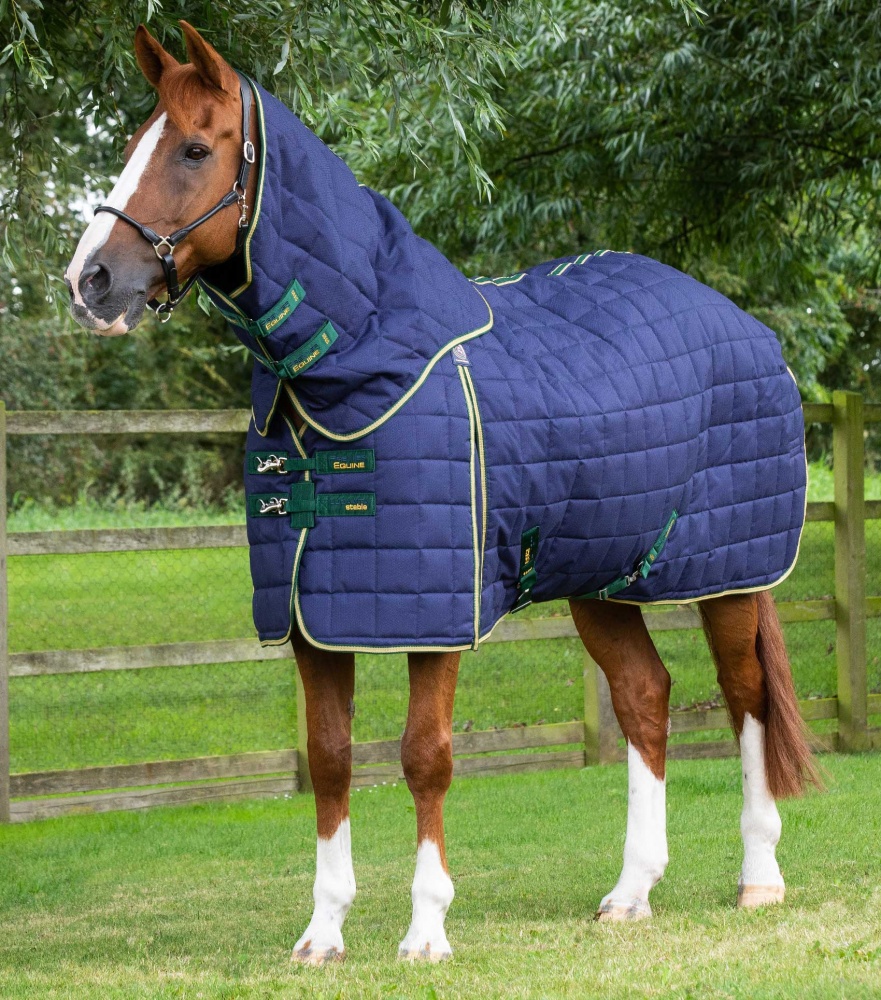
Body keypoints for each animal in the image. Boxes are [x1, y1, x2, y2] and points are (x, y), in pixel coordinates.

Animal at [64, 22, 819, 964]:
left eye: (196, 148)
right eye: (136, 142)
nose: (89, 281)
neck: (362, 367)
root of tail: (750, 329)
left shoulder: (434, 614)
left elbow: (424, 755)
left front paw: (425, 930)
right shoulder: (317, 615)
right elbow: (329, 756)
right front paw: (323, 933)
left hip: (729, 574)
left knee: (746, 699)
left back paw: (759, 877)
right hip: (601, 577)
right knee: (645, 697)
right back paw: (630, 891)